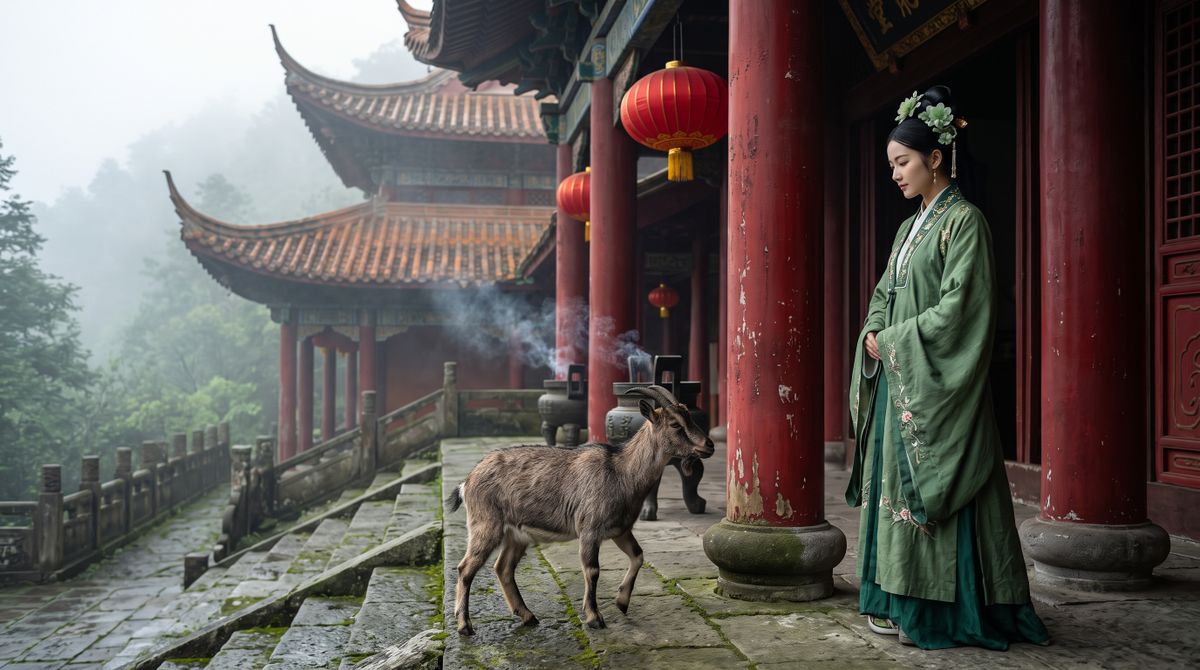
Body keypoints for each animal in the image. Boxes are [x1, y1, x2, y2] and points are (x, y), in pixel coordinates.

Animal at [446, 384, 714, 635]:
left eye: (690, 416)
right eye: (675, 424)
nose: (709, 445)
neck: (622, 472)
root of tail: (467, 481)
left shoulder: (620, 529)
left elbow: (638, 556)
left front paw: (621, 601)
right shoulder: (589, 528)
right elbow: (592, 570)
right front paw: (594, 617)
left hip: (516, 535)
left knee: (503, 568)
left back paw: (528, 616)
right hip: (486, 524)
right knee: (466, 568)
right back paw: (465, 625)